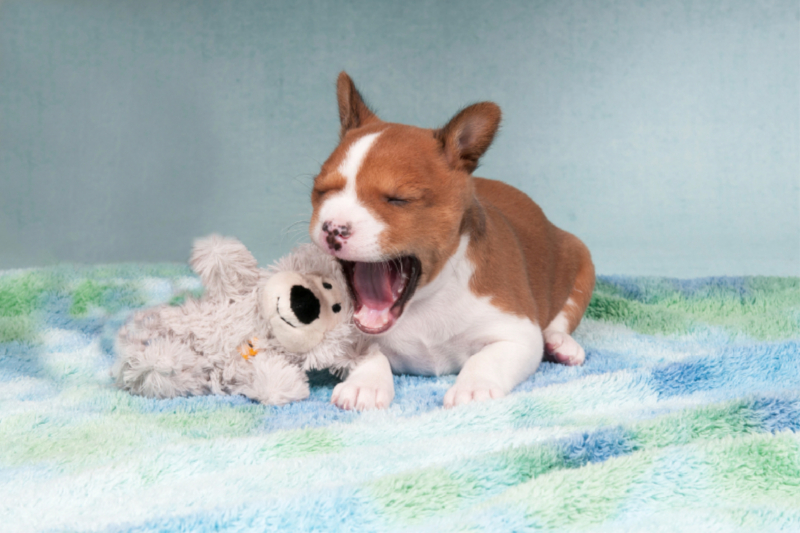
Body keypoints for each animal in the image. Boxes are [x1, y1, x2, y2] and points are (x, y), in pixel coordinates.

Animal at [310, 72, 596, 410]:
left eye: (397, 200)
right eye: (322, 191)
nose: (332, 228)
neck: (425, 301)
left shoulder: (517, 335)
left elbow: (485, 360)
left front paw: (474, 387)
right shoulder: (345, 338)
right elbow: (370, 354)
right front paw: (364, 383)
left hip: (581, 259)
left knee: (564, 315)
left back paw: (561, 343)